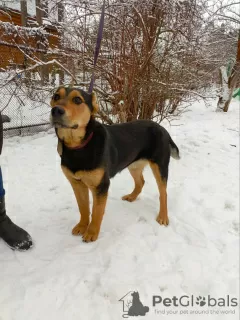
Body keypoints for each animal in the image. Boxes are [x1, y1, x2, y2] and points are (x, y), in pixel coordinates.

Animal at [49, 86, 179, 241]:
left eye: (77, 100)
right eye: (56, 96)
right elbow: (83, 208)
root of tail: (163, 129)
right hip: (134, 164)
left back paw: (163, 216)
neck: (78, 146)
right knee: (140, 182)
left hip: (160, 166)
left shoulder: (101, 185)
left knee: (163, 193)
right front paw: (82, 226)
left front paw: (92, 233)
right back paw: (132, 197)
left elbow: (97, 211)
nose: (56, 110)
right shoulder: (76, 183)